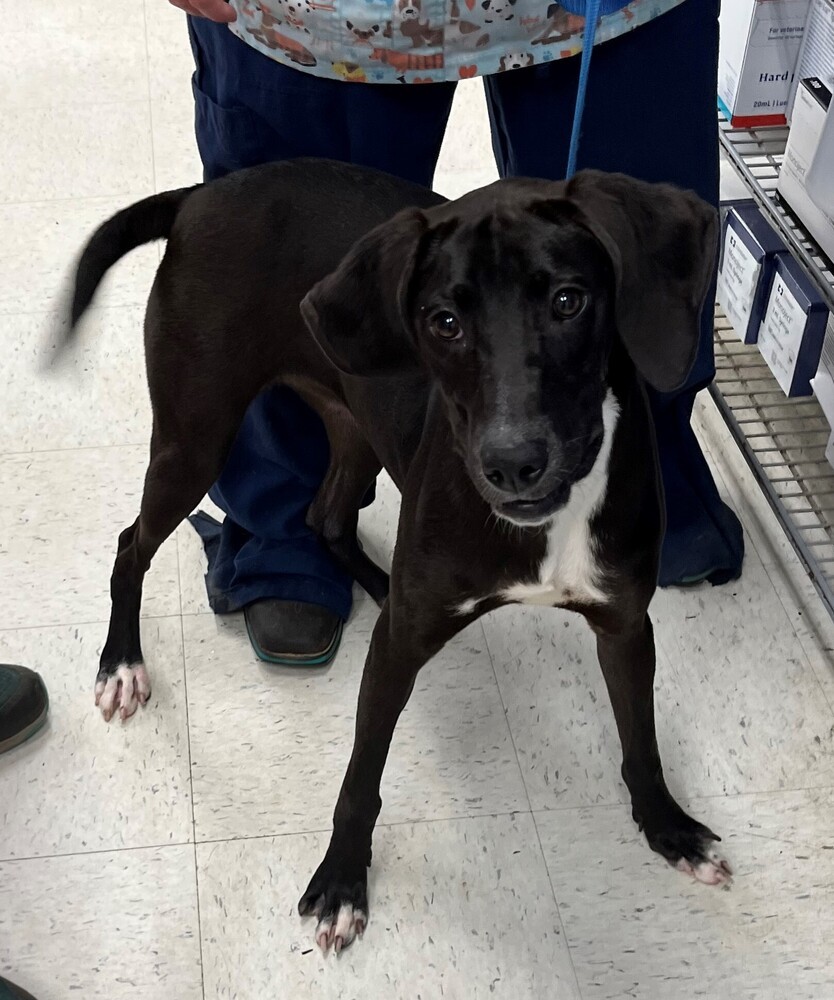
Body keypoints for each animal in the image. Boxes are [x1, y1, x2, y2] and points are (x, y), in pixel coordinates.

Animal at [60, 160, 728, 956]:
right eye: (444, 321)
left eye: (569, 300)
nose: (512, 464)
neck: (547, 523)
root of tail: (205, 194)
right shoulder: (395, 653)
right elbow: (360, 777)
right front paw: (343, 882)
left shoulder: (625, 624)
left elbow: (641, 738)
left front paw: (668, 827)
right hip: (196, 435)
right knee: (131, 545)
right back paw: (121, 666)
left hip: (353, 422)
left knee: (325, 518)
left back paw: (376, 583)